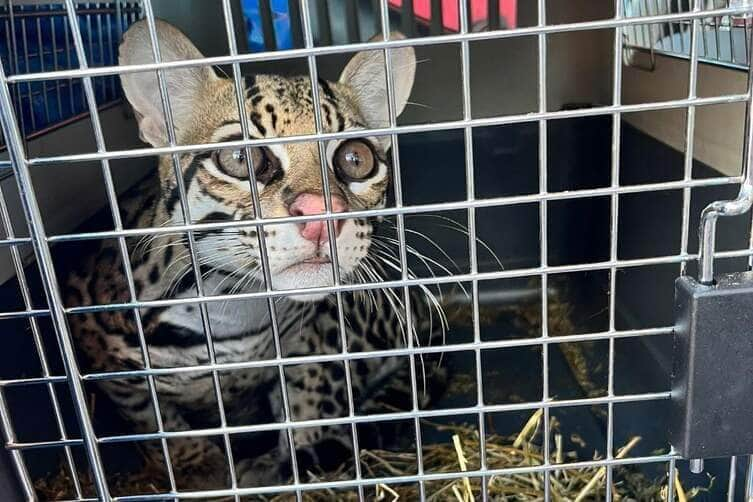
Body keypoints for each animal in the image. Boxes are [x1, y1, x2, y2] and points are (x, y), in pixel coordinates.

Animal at [66, 17, 446, 488]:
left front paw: (298, 453)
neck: (235, 304)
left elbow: (310, 391)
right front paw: (201, 469)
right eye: (238, 159)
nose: (322, 215)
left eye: (355, 158)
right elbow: (155, 420)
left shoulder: (312, 340)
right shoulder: (107, 358)